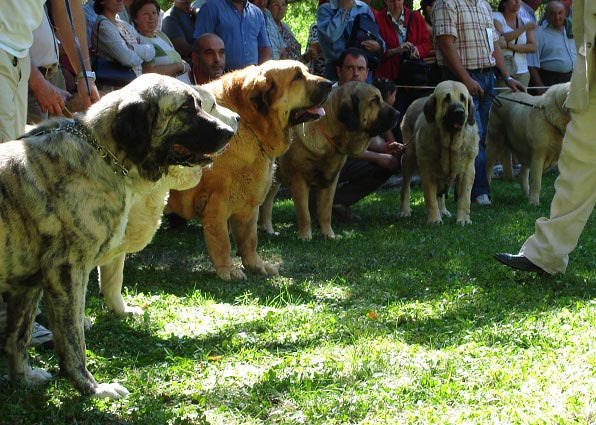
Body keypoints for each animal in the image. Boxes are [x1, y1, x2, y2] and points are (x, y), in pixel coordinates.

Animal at [258, 80, 398, 238]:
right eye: (374, 100)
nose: (398, 114)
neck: (329, 131)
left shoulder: (330, 181)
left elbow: (325, 211)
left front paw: (329, 235)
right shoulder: (299, 181)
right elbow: (304, 214)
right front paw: (305, 237)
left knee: (267, 203)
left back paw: (269, 230)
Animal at [398, 80, 478, 225]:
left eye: (463, 98)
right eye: (446, 99)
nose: (459, 112)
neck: (450, 143)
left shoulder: (467, 170)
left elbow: (465, 198)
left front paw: (463, 219)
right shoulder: (427, 170)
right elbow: (430, 198)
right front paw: (434, 219)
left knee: (440, 194)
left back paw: (443, 210)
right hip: (408, 158)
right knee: (405, 187)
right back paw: (404, 210)